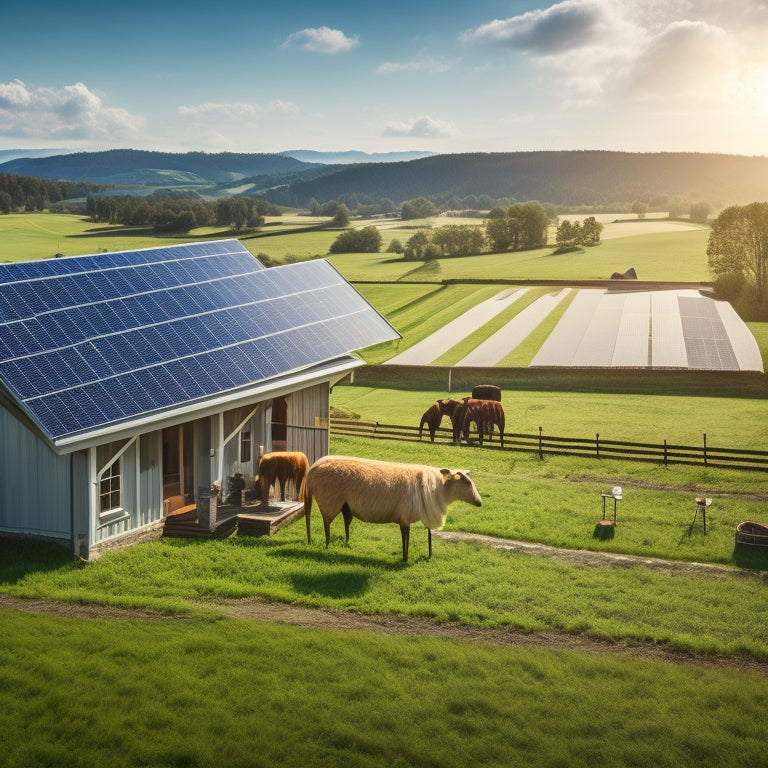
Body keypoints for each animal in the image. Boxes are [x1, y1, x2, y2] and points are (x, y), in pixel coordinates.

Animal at [300, 452, 480, 560]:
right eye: (466, 482)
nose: (479, 502)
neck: (438, 489)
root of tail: (313, 468)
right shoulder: (405, 517)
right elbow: (405, 538)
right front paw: (405, 558)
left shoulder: (405, 518)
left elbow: (409, 537)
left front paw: (423, 555)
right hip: (329, 501)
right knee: (326, 523)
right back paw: (327, 545)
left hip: (346, 505)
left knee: (345, 521)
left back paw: (346, 542)